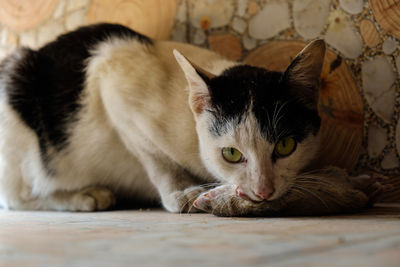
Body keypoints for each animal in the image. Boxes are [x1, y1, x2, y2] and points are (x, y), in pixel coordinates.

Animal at [0, 23, 328, 214]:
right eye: (232, 154)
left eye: (285, 147)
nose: (263, 191)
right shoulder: (112, 83)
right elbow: (156, 159)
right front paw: (180, 191)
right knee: (19, 196)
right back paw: (83, 197)